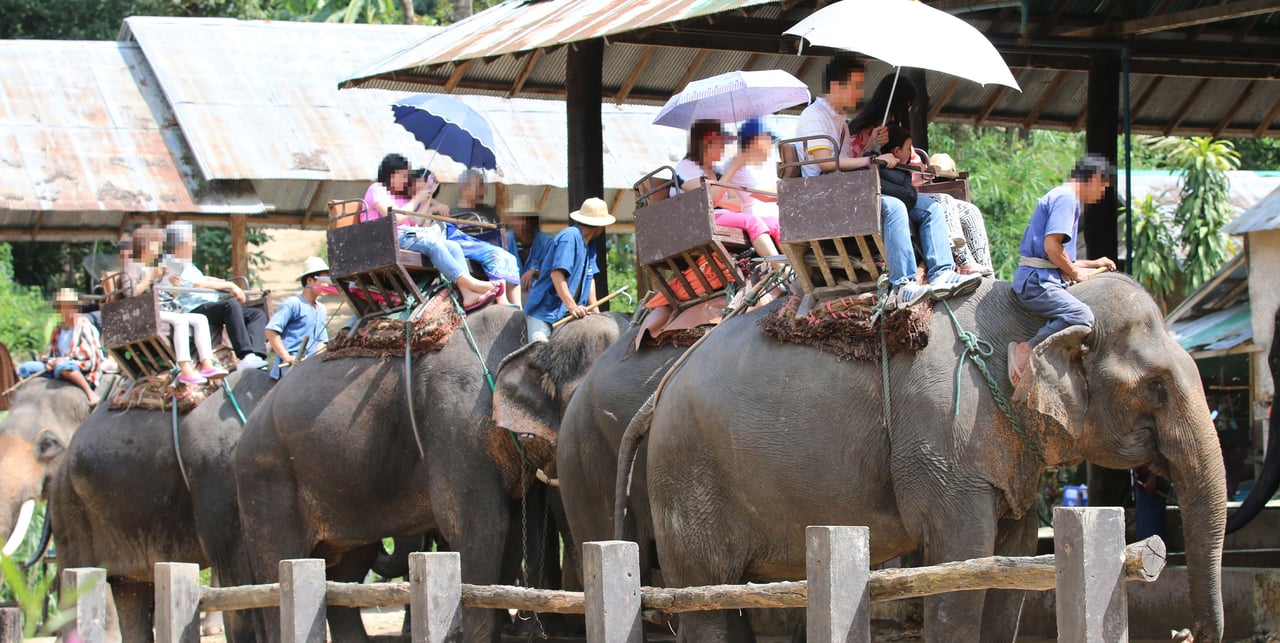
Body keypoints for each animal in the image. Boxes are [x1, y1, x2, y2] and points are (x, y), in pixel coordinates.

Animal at [235, 302, 535, 643]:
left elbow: (510, 532)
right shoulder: (454, 427)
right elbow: (479, 528)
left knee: (346, 573)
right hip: (265, 478)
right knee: (280, 564)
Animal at [619, 275, 1228, 643]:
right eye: (1155, 388)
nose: (1183, 633)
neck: (1030, 315)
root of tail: (659, 390)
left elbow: (1014, 561)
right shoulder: (944, 441)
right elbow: (962, 560)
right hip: (686, 476)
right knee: (707, 601)